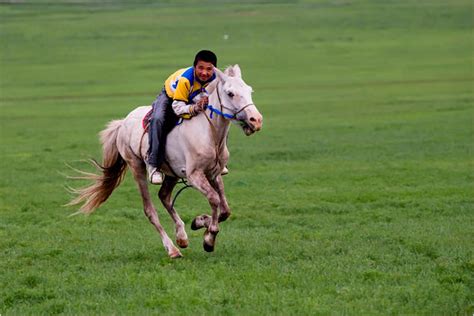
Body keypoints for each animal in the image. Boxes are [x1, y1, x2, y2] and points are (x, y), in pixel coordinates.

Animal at [67, 65, 262, 260]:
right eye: (230, 93)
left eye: (249, 90)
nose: (256, 120)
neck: (208, 132)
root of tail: (123, 123)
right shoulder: (195, 175)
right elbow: (214, 199)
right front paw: (209, 239)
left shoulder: (213, 174)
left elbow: (225, 209)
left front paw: (199, 222)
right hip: (137, 167)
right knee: (150, 210)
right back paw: (172, 249)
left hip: (172, 173)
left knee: (164, 196)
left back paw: (182, 237)